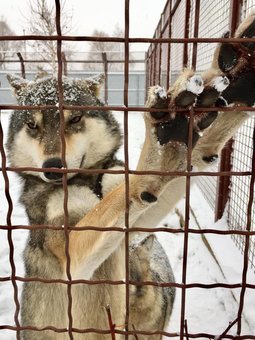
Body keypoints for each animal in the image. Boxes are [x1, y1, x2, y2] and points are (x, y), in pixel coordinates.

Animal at [5, 13, 255, 340]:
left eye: (75, 118)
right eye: (32, 126)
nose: (52, 167)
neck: (90, 181)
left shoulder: (134, 226)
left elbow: (190, 157)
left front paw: (235, 74)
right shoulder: (73, 256)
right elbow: (126, 188)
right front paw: (166, 141)